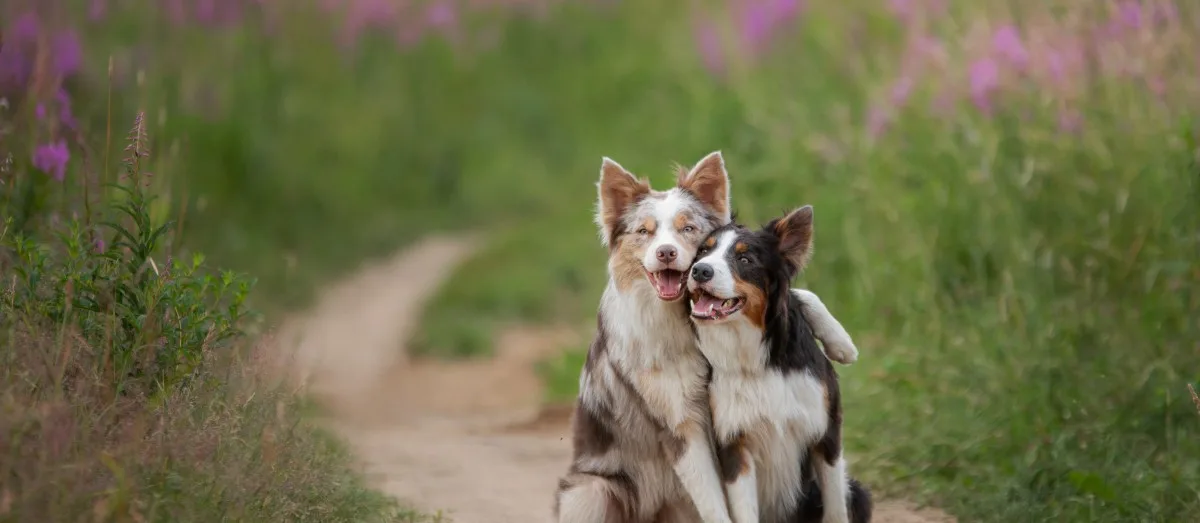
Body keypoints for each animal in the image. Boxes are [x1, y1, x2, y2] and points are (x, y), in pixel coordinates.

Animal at [552, 152, 864, 523]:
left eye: (687, 229)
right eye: (644, 232)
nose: (667, 253)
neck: (680, 323)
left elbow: (801, 294)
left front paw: (840, 342)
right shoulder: (684, 427)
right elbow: (715, 504)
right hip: (592, 491)